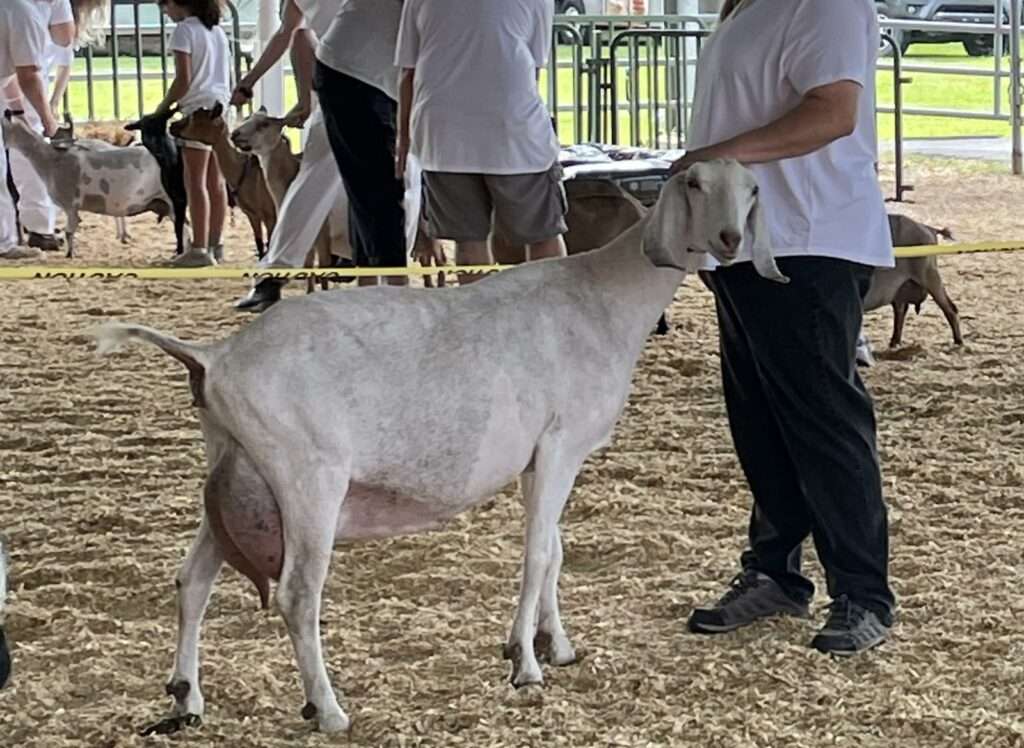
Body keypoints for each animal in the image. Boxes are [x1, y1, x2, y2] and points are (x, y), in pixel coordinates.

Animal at [92, 159, 786, 729]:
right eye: (694, 185)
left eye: (753, 190)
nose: (730, 239)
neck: (602, 297)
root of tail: (212, 358)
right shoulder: (561, 446)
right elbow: (538, 555)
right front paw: (525, 664)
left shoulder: (540, 459)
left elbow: (555, 552)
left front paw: (556, 646)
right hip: (306, 478)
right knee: (296, 594)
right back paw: (328, 709)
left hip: (235, 473)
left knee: (192, 579)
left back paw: (186, 698)